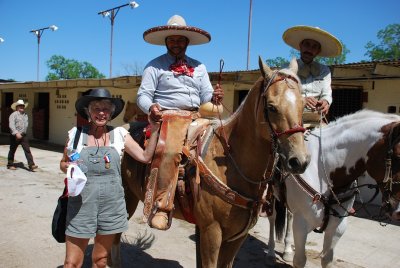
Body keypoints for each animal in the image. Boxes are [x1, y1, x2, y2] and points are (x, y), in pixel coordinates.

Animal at [111, 57, 310, 268]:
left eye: (303, 105)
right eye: (271, 107)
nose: (299, 160)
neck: (231, 162)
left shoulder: (237, 237)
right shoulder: (211, 230)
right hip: (125, 199)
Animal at [266, 109, 400, 268]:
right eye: (398, 155)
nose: (398, 211)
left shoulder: (337, 227)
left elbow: (327, 260)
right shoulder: (301, 224)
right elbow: (300, 260)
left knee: (289, 216)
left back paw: (286, 250)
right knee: (272, 217)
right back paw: (271, 250)